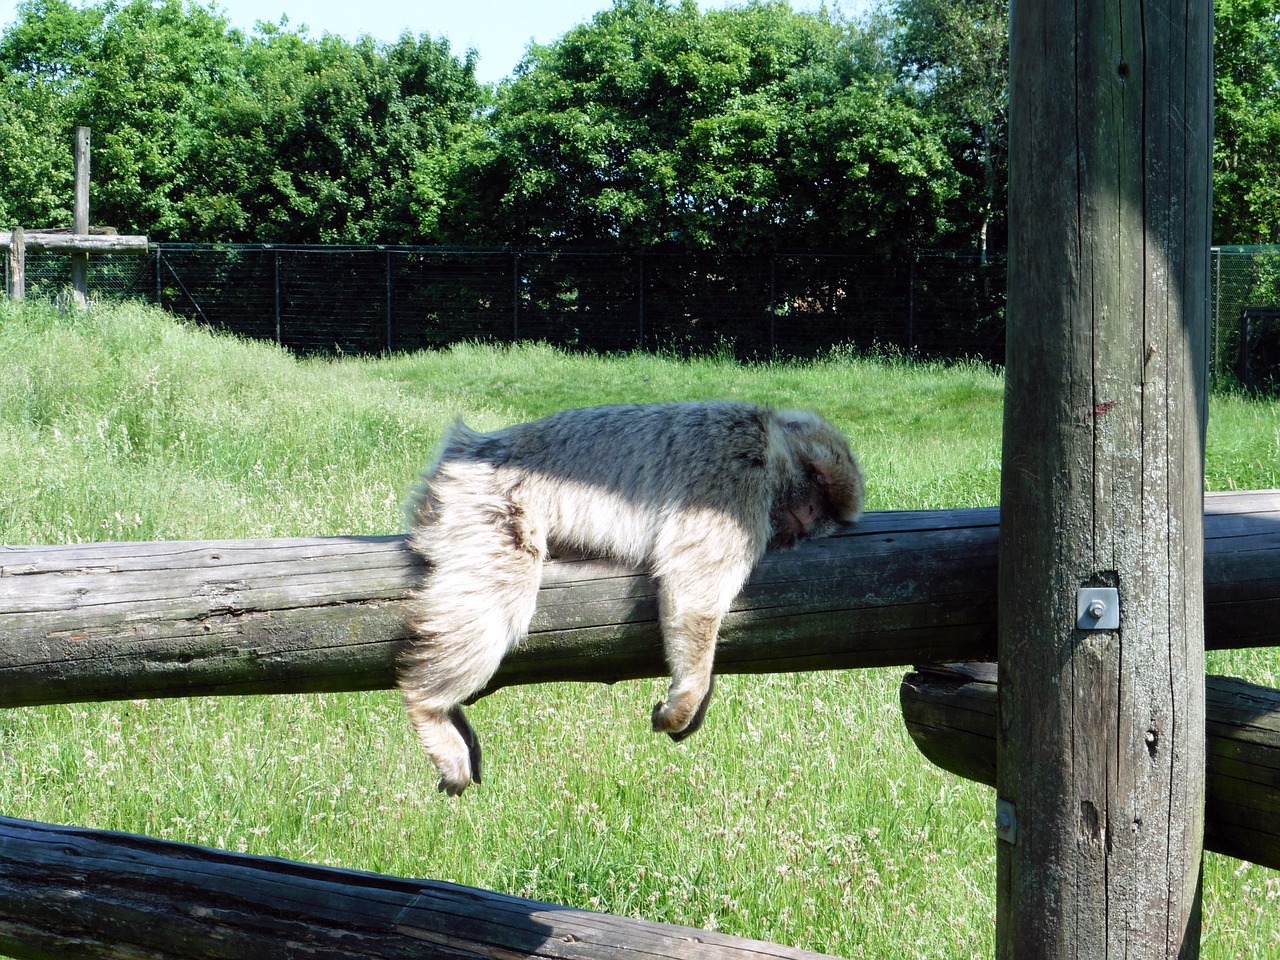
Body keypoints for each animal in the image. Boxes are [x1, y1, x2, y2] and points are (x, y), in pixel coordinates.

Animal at [396, 399, 860, 798]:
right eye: (818, 482)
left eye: (825, 508)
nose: (809, 514)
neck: (767, 442)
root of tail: (466, 449)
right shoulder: (734, 473)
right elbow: (693, 584)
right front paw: (691, 692)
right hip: (486, 502)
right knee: (499, 591)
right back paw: (427, 707)